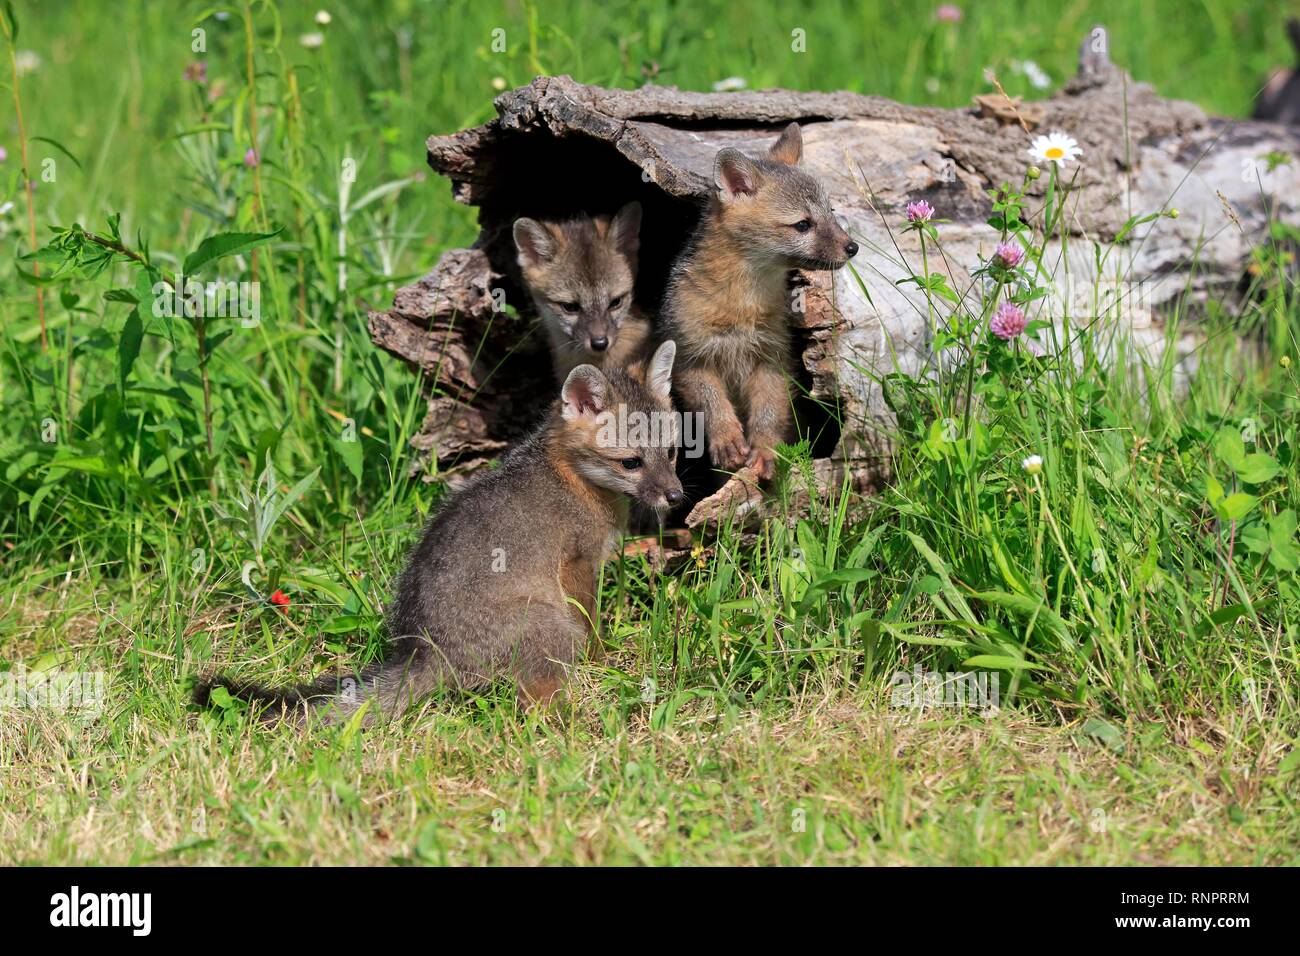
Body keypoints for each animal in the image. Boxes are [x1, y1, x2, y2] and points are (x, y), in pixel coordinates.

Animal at [195, 341, 683, 725]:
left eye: (673, 452)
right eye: (631, 463)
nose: (677, 496)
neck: (571, 476)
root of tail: (429, 652)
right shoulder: (578, 565)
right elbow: (592, 624)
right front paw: (605, 660)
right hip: (550, 624)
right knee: (533, 705)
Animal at [662, 122, 857, 480]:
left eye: (831, 213)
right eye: (803, 224)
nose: (853, 247)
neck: (741, 304)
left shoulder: (773, 360)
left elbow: (769, 413)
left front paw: (766, 451)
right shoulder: (689, 359)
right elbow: (713, 404)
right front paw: (726, 436)